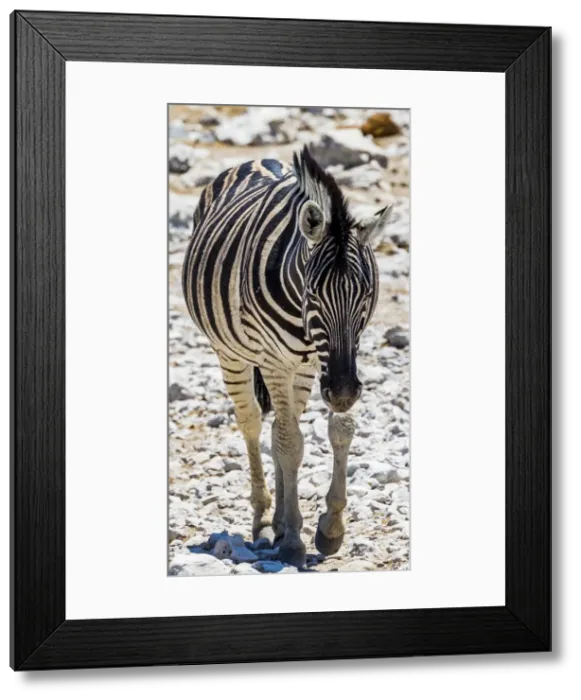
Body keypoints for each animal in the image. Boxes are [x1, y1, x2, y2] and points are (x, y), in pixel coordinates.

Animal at [182, 144, 393, 568]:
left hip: (301, 370)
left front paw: (330, 527)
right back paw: (266, 521)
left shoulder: (327, 362)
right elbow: (290, 443)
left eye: (365, 294)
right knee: (254, 423)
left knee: (281, 423)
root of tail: (256, 159)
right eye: (313, 293)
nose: (343, 391)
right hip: (233, 354)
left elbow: (338, 429)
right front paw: (295, 539)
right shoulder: (276, 361)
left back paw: (279, 521)